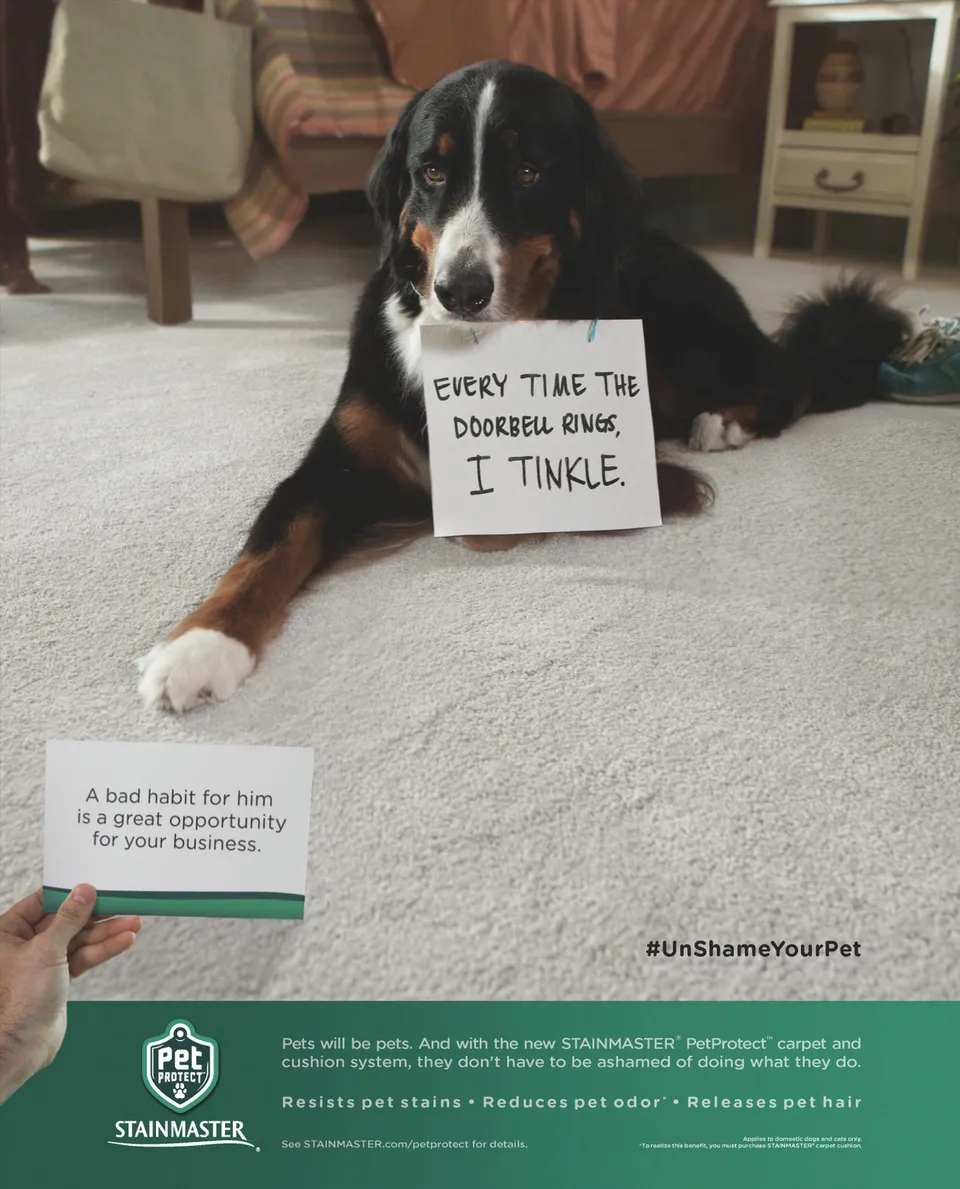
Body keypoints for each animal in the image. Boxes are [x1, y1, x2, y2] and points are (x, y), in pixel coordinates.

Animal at [138, 60, 908, 712]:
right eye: (432, 171)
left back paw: (726, 420)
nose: (459, 290)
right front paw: (199, 645)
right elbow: (270, 542)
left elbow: (489, 519)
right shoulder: (338, 454)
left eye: (530, 172)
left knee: (788, 380)